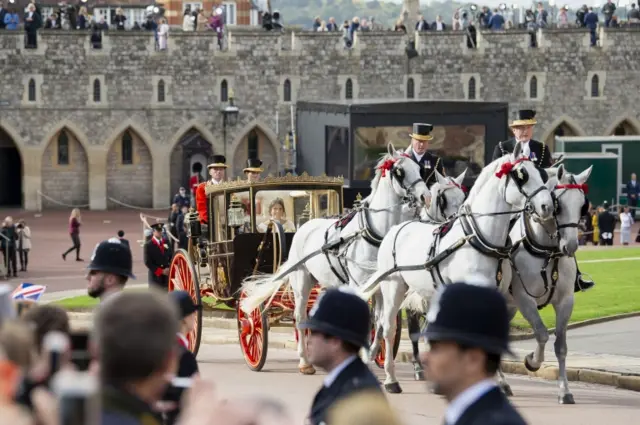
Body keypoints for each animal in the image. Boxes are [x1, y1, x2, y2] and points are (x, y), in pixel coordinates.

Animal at [240, 144, 430, 372]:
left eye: (420, 169)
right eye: (400, 171)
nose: (426, 197)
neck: (371, 232)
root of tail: (304, 226)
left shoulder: (380, 285)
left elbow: (379, 320)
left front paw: (373, 352)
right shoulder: (359, 284)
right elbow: (365, 319)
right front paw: (363, 353)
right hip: (302, 281)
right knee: (299, 316)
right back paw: (304, 361)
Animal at [360, 142, 556, 390]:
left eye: (540, 173)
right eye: (522, 175)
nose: (547, 206)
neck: (479, 238)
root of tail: (396, 228)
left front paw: (498, 380)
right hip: (393, 286)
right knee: (388, 327)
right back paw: (391, 378)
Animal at [498, 164, 592, 402]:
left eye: (582, 205)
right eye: (558, 205)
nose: (571, 246)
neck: (547, 251)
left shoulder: (565, 301)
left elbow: (561, 346)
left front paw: (564, 391)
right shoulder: (524, 299)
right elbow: (541, 334)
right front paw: (532, 361)